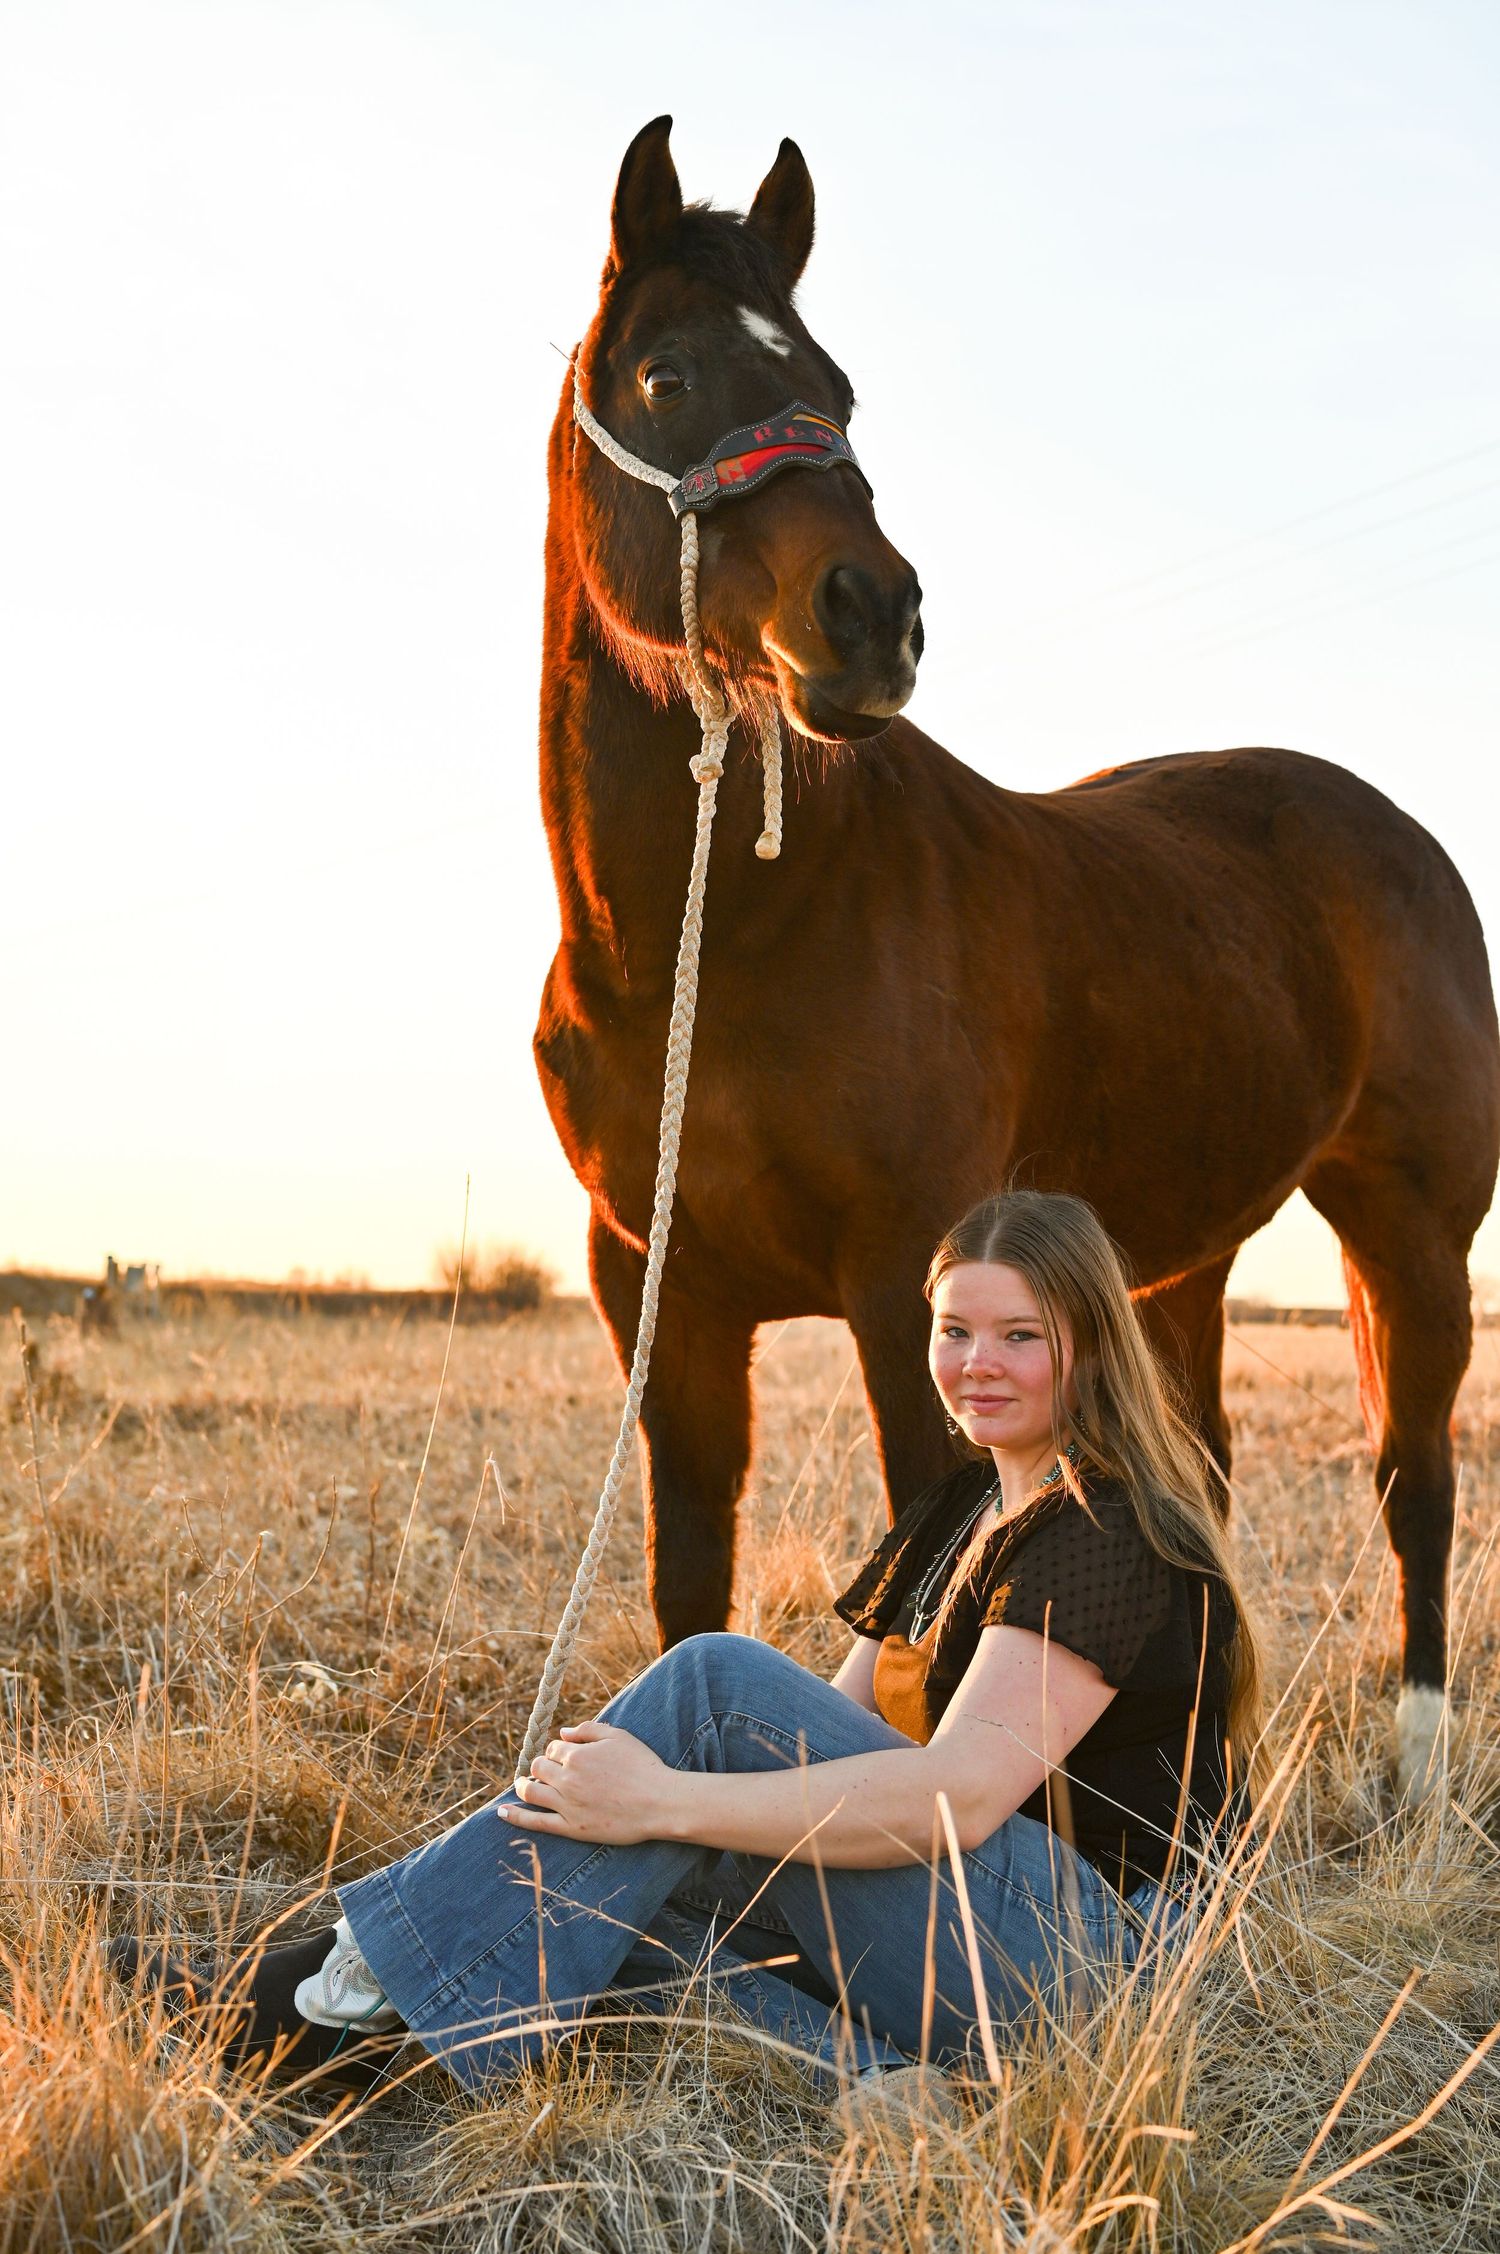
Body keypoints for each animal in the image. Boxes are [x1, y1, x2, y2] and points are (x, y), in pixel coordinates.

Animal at [532, 116, 1499, 1797]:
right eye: (665, 372)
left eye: (839, 387)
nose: (872, 616)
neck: (721, 941)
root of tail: (1399, 834)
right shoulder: (659, 1291)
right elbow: (685, 1579)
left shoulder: (902, 1275)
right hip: (1176, 1258)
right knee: (1207, 1478)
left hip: (1411, 1227)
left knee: (1415, 1478)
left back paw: (1418, 1762)